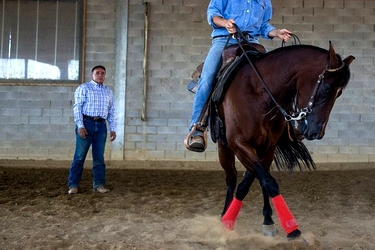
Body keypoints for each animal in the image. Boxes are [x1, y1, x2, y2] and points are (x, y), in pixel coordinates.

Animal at [188, 41, 356, 240]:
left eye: (339, 93)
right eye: (327, 88)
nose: (316, 132)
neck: (259, 92)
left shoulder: (267, 147)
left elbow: (256, 181)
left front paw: (268, 221)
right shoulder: (239, 144)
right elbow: (268, 182)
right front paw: (291, 227)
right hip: (224, 146)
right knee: (230, 178)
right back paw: (223, 215)